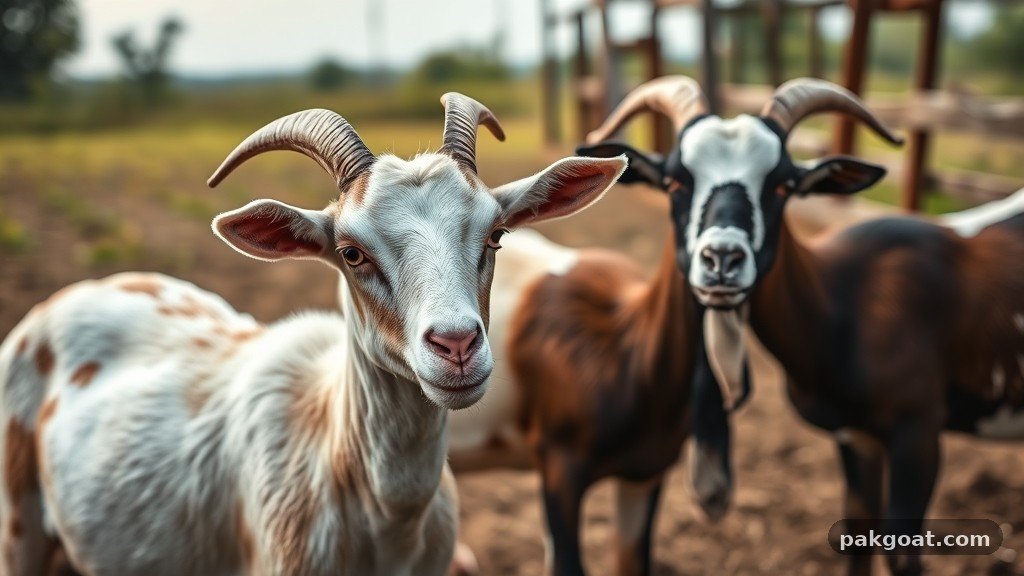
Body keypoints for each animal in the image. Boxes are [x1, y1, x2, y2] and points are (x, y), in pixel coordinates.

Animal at [581, 75, 1024, 575]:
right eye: (675, 181)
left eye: (782, 186)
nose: (722, 260)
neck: (845, 301)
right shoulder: (857, 436)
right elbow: (858, 537)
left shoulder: (919, 432)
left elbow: (901, 553)